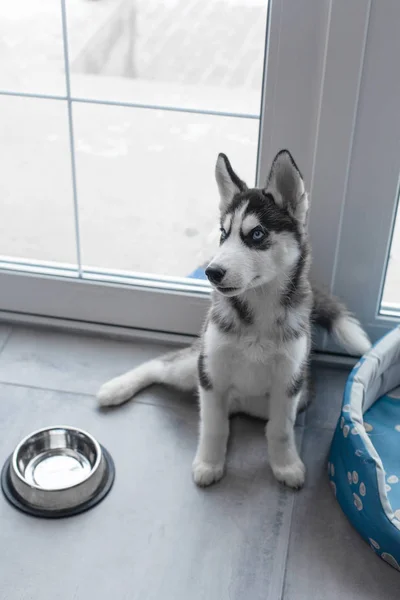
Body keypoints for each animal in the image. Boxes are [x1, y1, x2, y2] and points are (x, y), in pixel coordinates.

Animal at [96, 149, 368, 488]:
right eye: (223, 235)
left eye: (256, 234)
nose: (211, 272)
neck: (259, 307)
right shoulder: (210, 371)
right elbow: (213, 426)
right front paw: (209, 463)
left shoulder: (288, 383)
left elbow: (280, 429)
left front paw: (286, 464)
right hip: (193, 368)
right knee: (162, 365)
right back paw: (116, 388)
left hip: (297, 393)